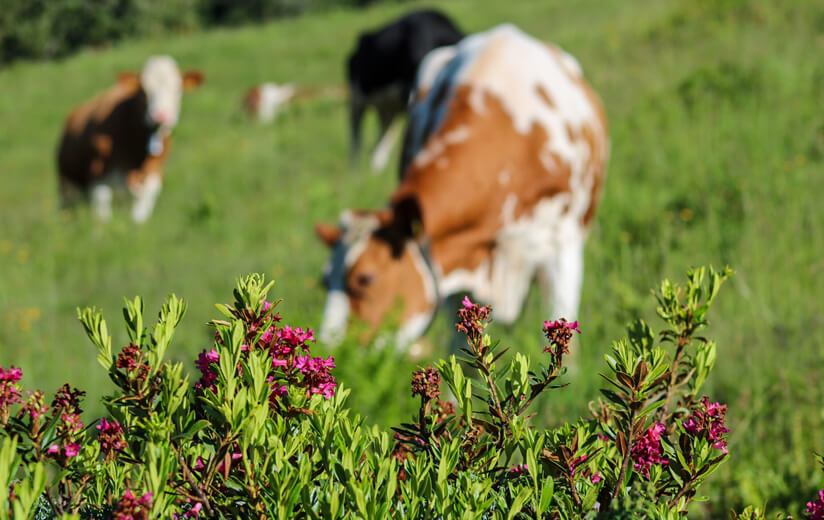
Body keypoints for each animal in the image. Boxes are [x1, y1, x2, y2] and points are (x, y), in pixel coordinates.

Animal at [56, 55, 204, 222]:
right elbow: (102, 205)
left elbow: (144, 200)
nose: (161, 115)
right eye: (143, 91)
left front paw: (138, 223)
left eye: (178, 90)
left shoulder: (155, 169)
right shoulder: (98, 172)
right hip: (66, 182)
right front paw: (103, 225)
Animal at [346, 8, 464, 173]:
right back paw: (354, 170)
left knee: (384, 133)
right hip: (357, 97)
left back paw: (376, 166)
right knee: (356, 134)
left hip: (389, 107)